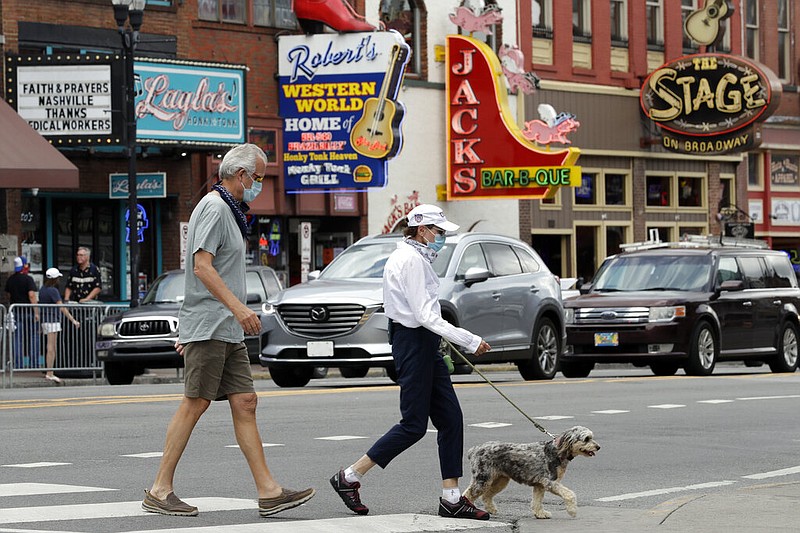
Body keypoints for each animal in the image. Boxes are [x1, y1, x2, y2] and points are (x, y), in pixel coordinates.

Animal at [462, 424, 600, 516]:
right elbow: (570, 494)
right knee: (468, 494)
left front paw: (541, 514)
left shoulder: (540, 485)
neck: (557, 451)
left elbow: (537, 501)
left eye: (592, 437)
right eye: (586, 438)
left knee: (486, 496)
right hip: (482, 480)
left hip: (500, 481)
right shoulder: (551, 482)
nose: (598, 447)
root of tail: (475, 449)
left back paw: (491, 509)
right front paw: (572, 511)